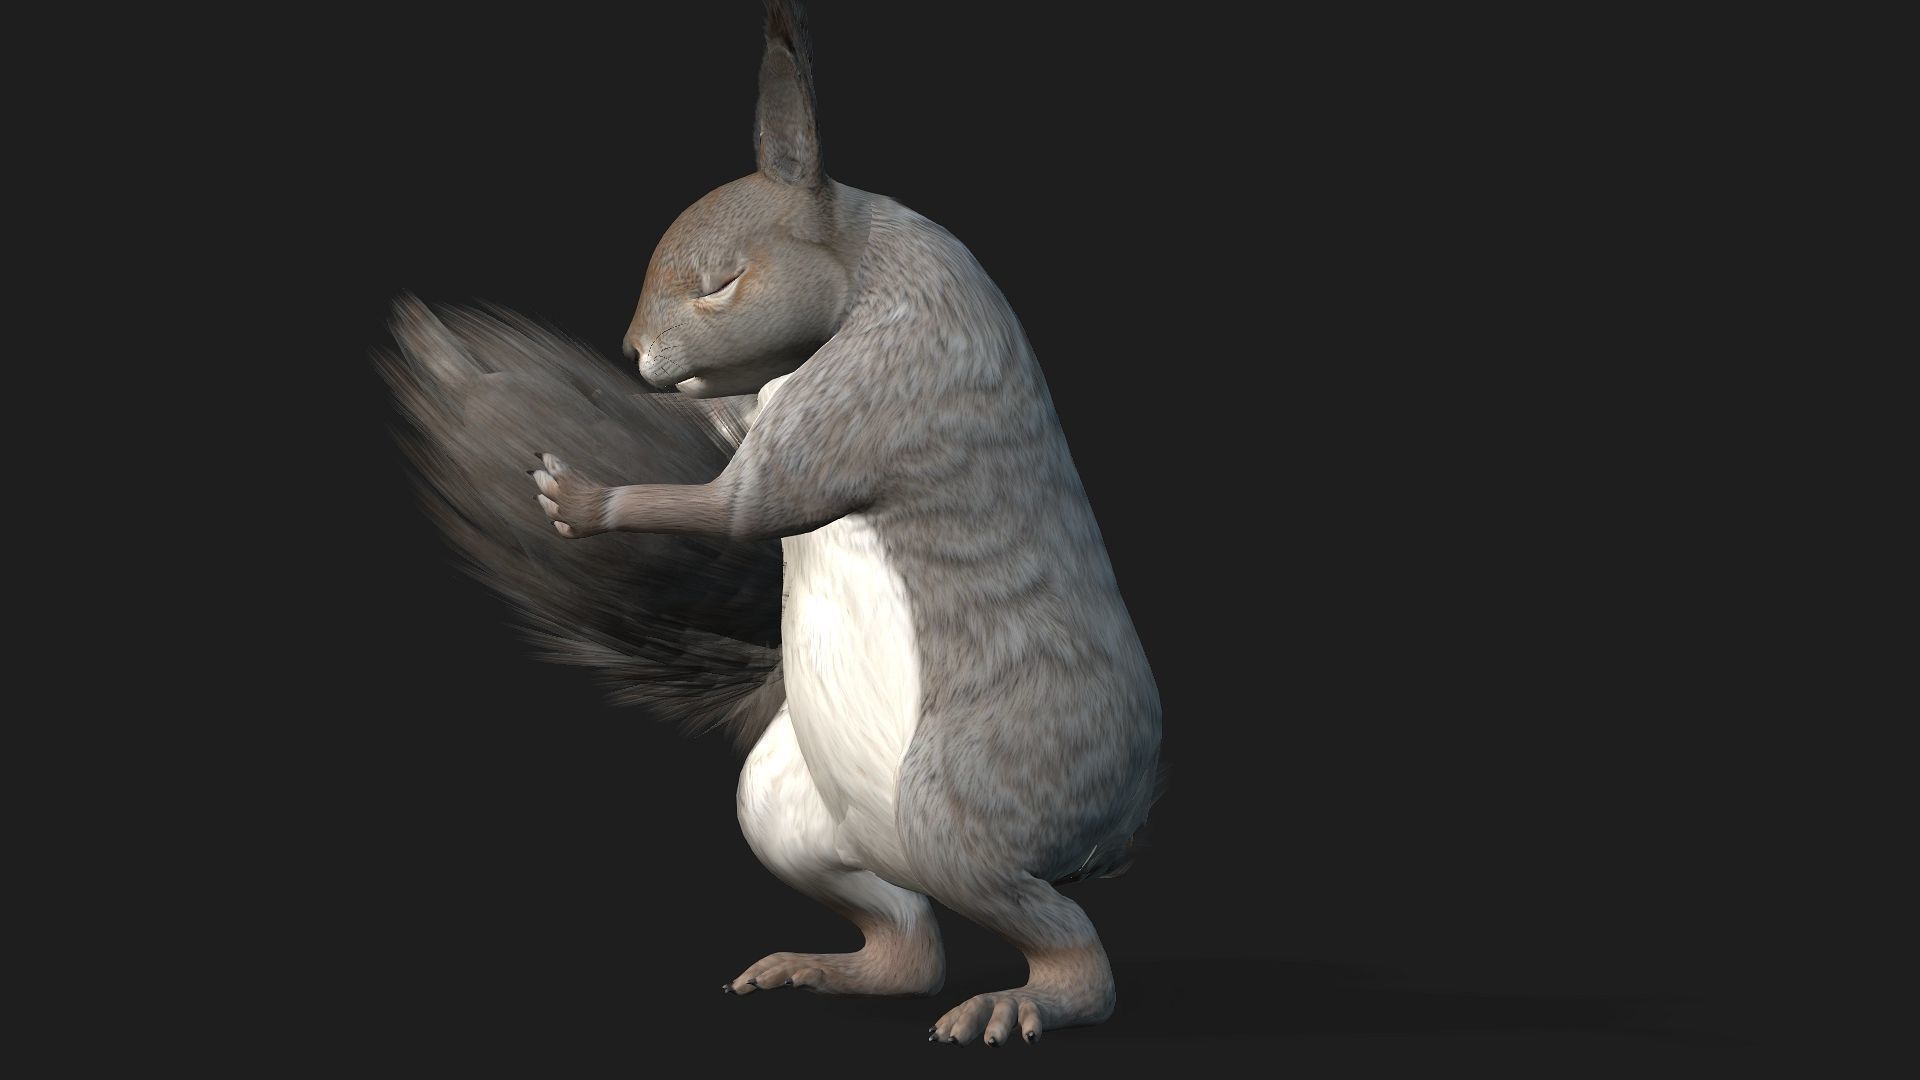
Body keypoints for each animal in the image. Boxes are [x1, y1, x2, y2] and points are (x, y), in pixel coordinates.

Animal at [378, 1, 1161, 1046]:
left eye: (720, 283)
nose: (633, 353)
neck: (860, 257)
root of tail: (1117, 834)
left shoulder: (886, 378)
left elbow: (747, 506)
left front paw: (581, 501)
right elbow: (737, 444)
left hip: (970, 787)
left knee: (1067, 946)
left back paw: (1018, 1002)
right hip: (786, 809)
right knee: (907, 946)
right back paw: (825, 968)